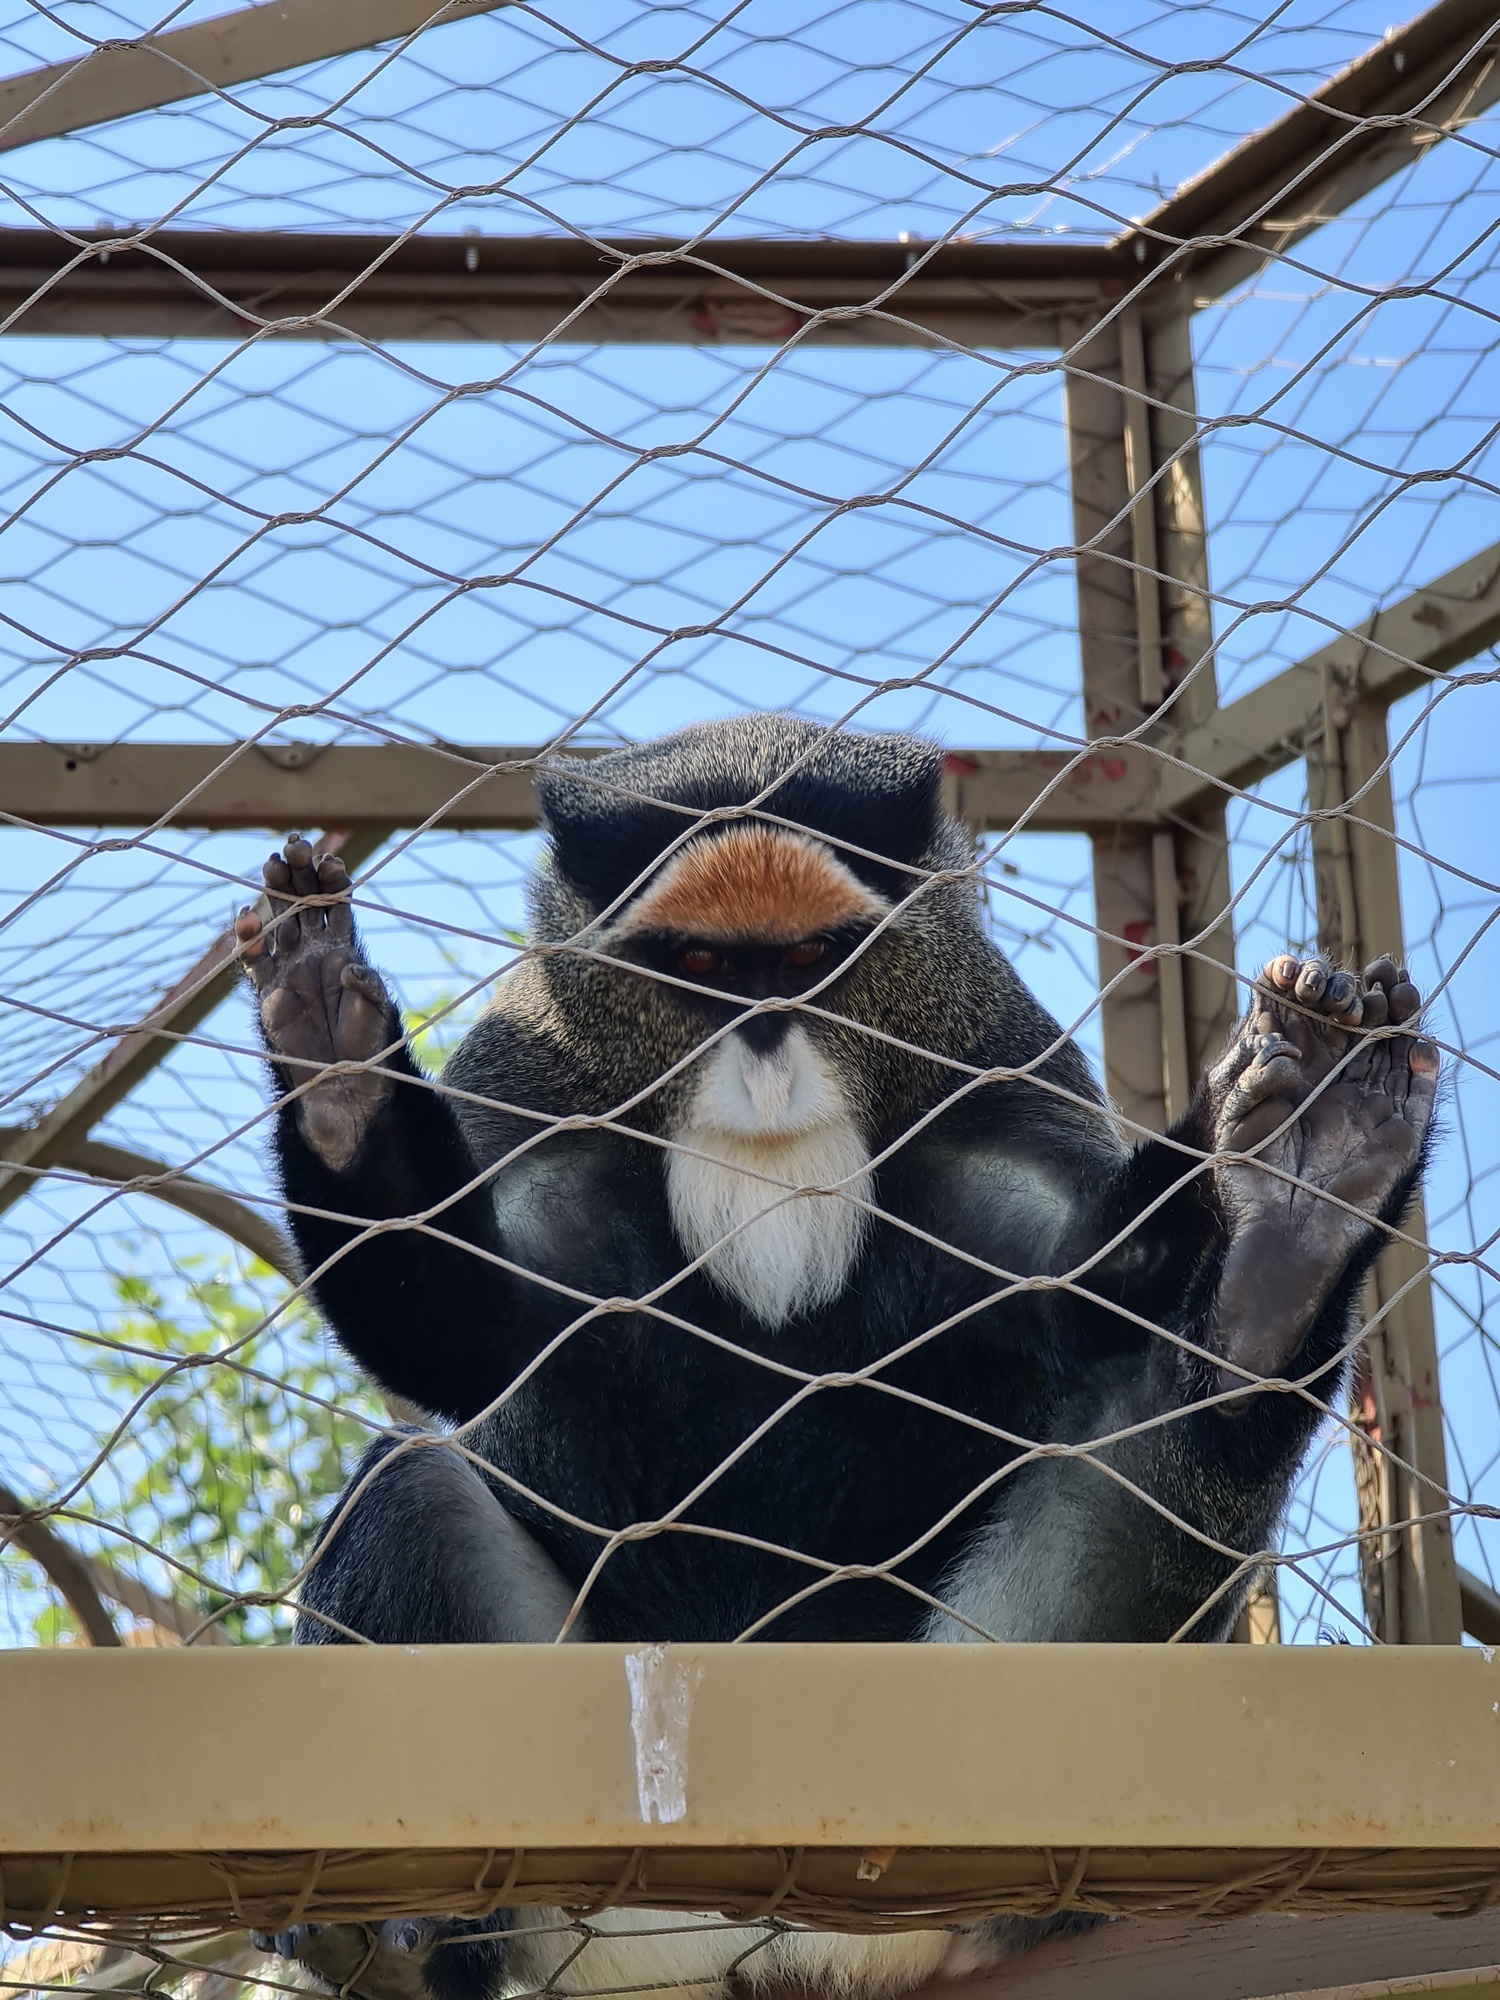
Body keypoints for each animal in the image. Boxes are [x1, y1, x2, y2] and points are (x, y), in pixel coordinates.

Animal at [241, 712, 1440, 2000]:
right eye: (703, 967)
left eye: (815, 959)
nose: (767, 1046)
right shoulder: (528, 1083)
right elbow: (465, 1332)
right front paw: (331, 1046)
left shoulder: (993, 1066)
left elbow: (1081, 1299)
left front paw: (1276, 1155)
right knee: (408, 1485)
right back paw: (403, 1929)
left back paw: (1295, 1224)